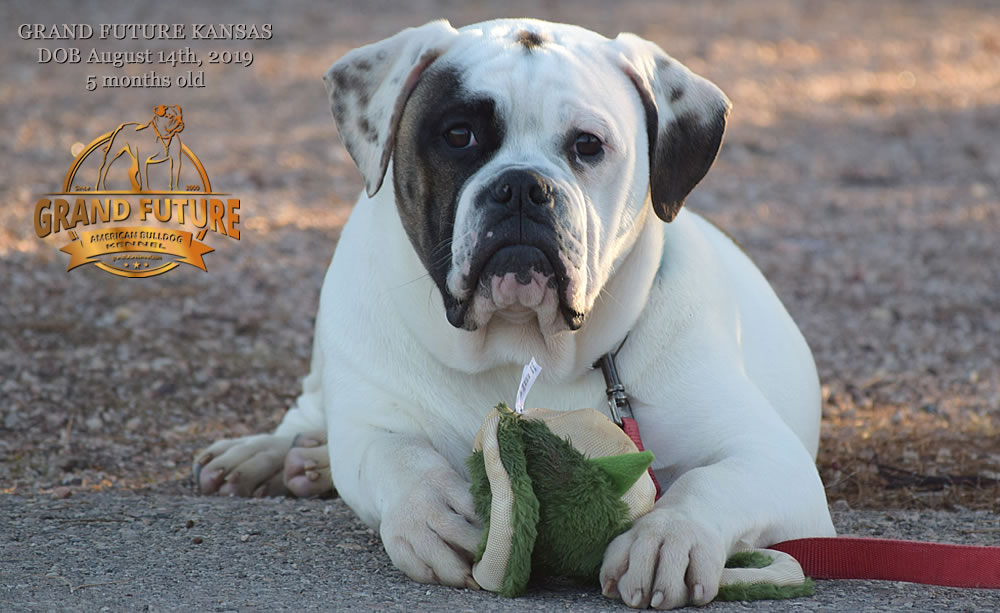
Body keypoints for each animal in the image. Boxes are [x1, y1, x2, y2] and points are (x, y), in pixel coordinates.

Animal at [195, 17, 836, 608]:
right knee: (313, 411)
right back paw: (272, 454)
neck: (521, 345)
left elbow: (711, 482)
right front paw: (430, 511)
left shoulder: (772, 459)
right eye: (458, 135)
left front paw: (669, 536)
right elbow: (394, 455)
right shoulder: (370, 423)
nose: (523, 186)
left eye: (587, 145)